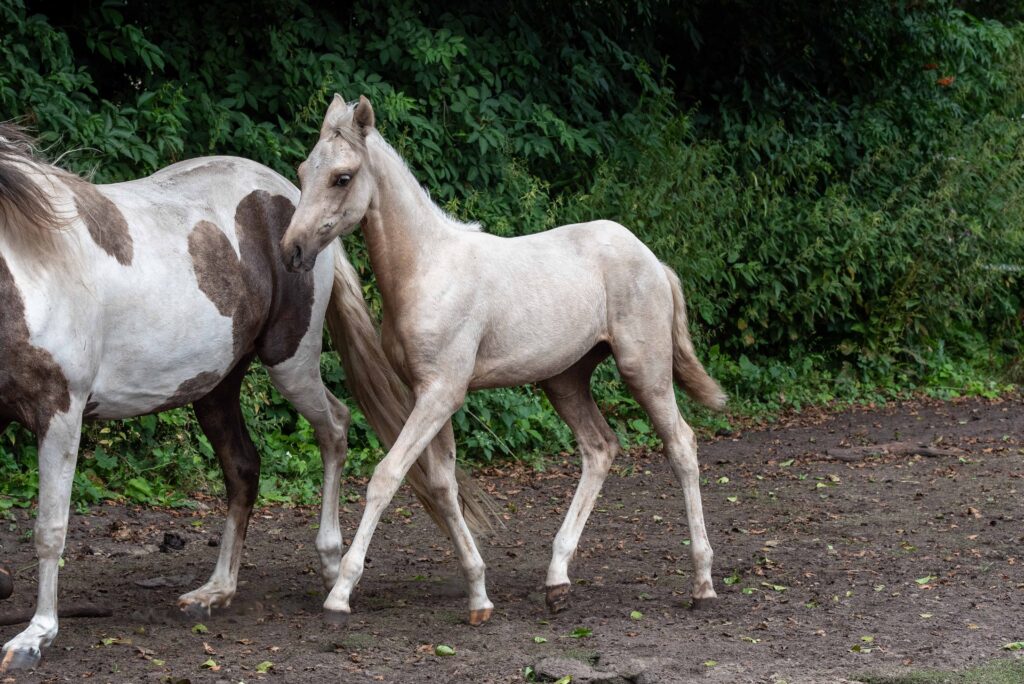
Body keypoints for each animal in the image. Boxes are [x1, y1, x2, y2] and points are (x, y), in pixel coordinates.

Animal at [0, 125, 491, 671]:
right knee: (243, 469)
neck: (30, 270)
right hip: (215, 387)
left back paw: (332, 565)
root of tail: (290, 201)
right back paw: (216, 589)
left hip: (290, 365)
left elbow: (49, 529)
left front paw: (35, 637)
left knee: (335, 427)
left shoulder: (60, 412)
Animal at [280, 96, 729, 626]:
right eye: (303, 170)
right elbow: (442, 484)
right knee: (600, 448)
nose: (291, 251)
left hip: (645, 369)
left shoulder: (442, 393)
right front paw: (479, 594)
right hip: (565, 380)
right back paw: (557, 581)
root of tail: (653, 261)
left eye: (342, 177)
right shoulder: (427, 393)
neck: (427, 268)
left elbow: (386, 476)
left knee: (681, 445)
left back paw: (703, 583)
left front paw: (341, 593)